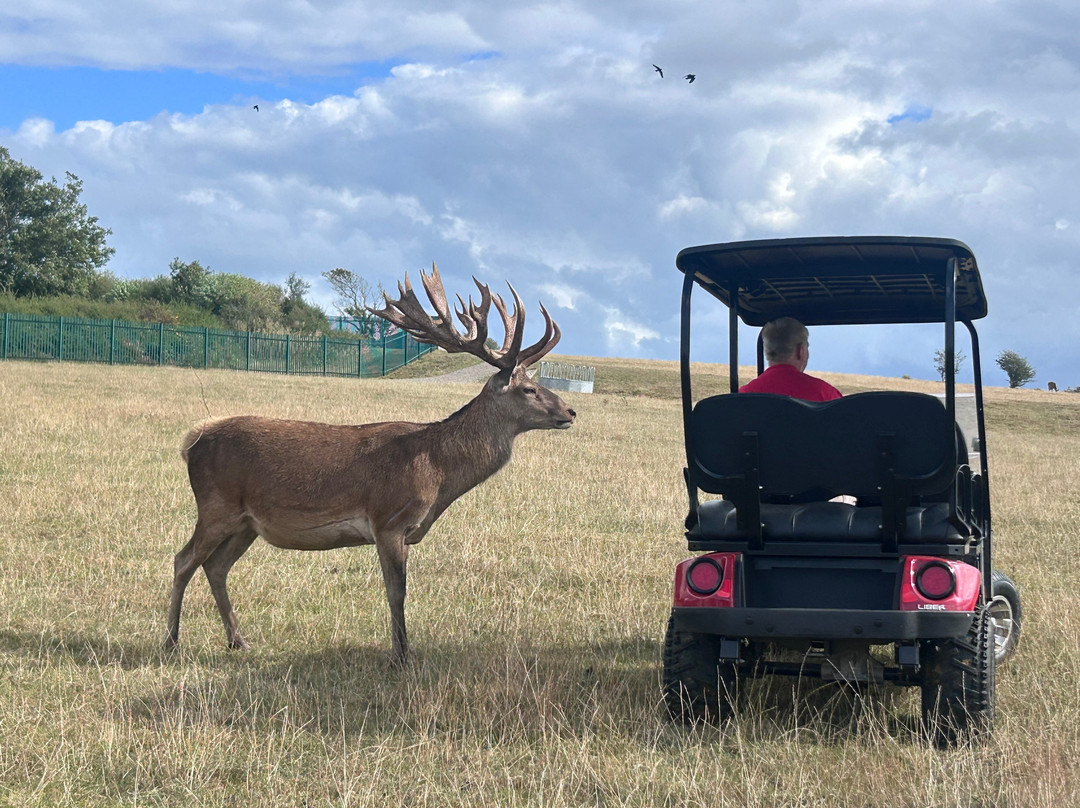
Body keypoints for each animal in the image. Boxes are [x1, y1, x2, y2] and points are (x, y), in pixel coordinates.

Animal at [165, 264, 576, 665]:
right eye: (528, 390)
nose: (570, 411)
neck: (437, 471)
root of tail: (191, 442)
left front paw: (402, 651)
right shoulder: (388, 520)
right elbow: (397, 592)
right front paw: (401, 656)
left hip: (246, 523)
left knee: (215, 567)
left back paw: (239, 642)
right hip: (216, 506)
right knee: (183, 560)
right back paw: (171, 642)